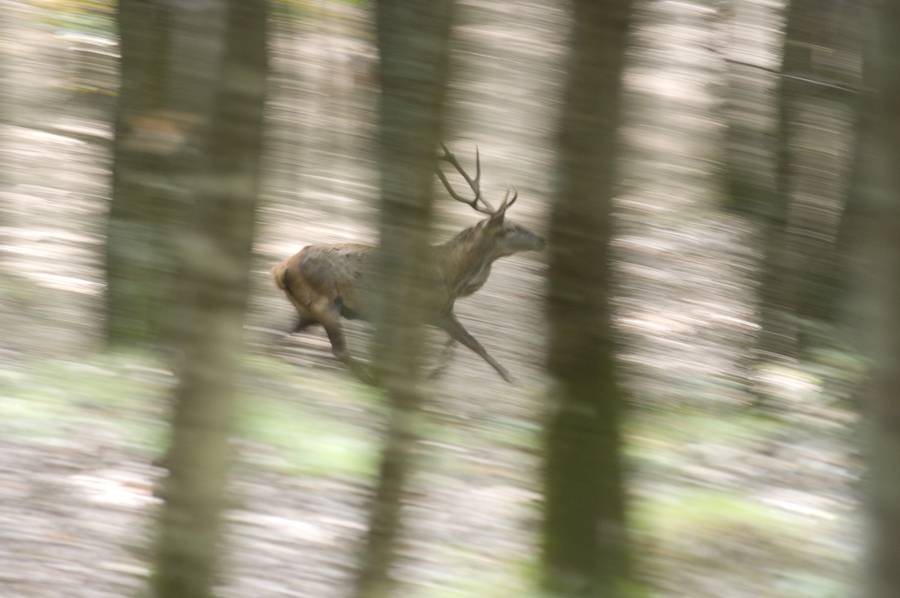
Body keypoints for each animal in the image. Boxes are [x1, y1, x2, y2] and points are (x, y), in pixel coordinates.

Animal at [270, 144, 544, 384]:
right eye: (509, 229)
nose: (541, 239)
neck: (452, 276)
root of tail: (279, 269)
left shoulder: (441, 310)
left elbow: (461, 342)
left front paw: (438, 372)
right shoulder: (427, 309)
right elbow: (471, 342)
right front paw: (511, 379)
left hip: (306, 309)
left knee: (276, 333)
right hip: (324, 302)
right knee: (339, 350)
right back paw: (370, 379)